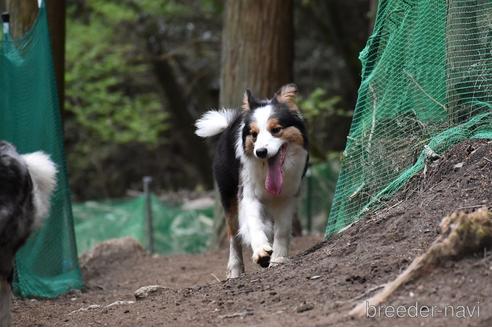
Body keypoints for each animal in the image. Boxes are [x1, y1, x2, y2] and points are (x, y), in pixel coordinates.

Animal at [195, 84, 308, 276]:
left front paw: (278, 258)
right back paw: (235, 269)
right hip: (228, 195)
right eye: (254, 134)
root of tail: (229, 124)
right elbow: (254, 222)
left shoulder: (288, 196)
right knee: (233, 236)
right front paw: (261, 251)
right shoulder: (247, 193)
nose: (261, 152)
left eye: (276, 130)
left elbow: (283, 229)